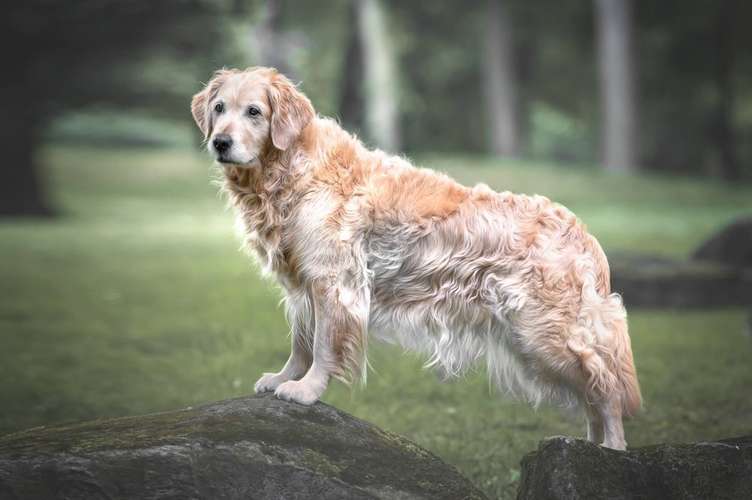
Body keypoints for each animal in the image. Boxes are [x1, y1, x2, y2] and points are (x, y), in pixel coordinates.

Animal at [192, 65, 640, 450]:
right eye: (219, 108)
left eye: (254, 112)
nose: (220, 142)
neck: (289, 170)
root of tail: (583, 232)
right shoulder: (303, 286)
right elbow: (300, 343)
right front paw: (284, 377)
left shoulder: (334, 282)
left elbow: (321, 347)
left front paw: (306, 390)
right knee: (592, 392)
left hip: (543, 334)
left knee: (605, 387)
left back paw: (612, 449)